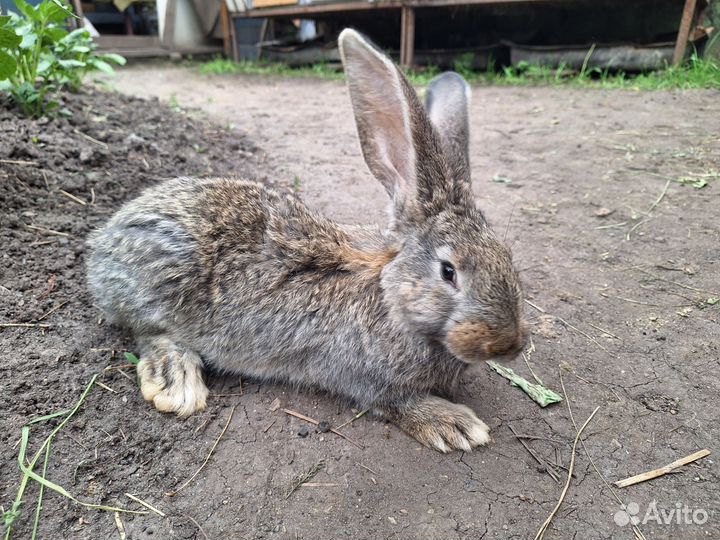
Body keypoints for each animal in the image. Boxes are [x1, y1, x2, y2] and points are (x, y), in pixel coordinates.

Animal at [87, 28, 524, 452]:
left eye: (508, 258)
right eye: (449, 272)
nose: (507, 345)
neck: (390, 295)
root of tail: (103, 238)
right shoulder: (363, 375)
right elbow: (395, 402)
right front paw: (455, 425)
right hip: (159, 284)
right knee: (145, 331)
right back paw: (176, 381)